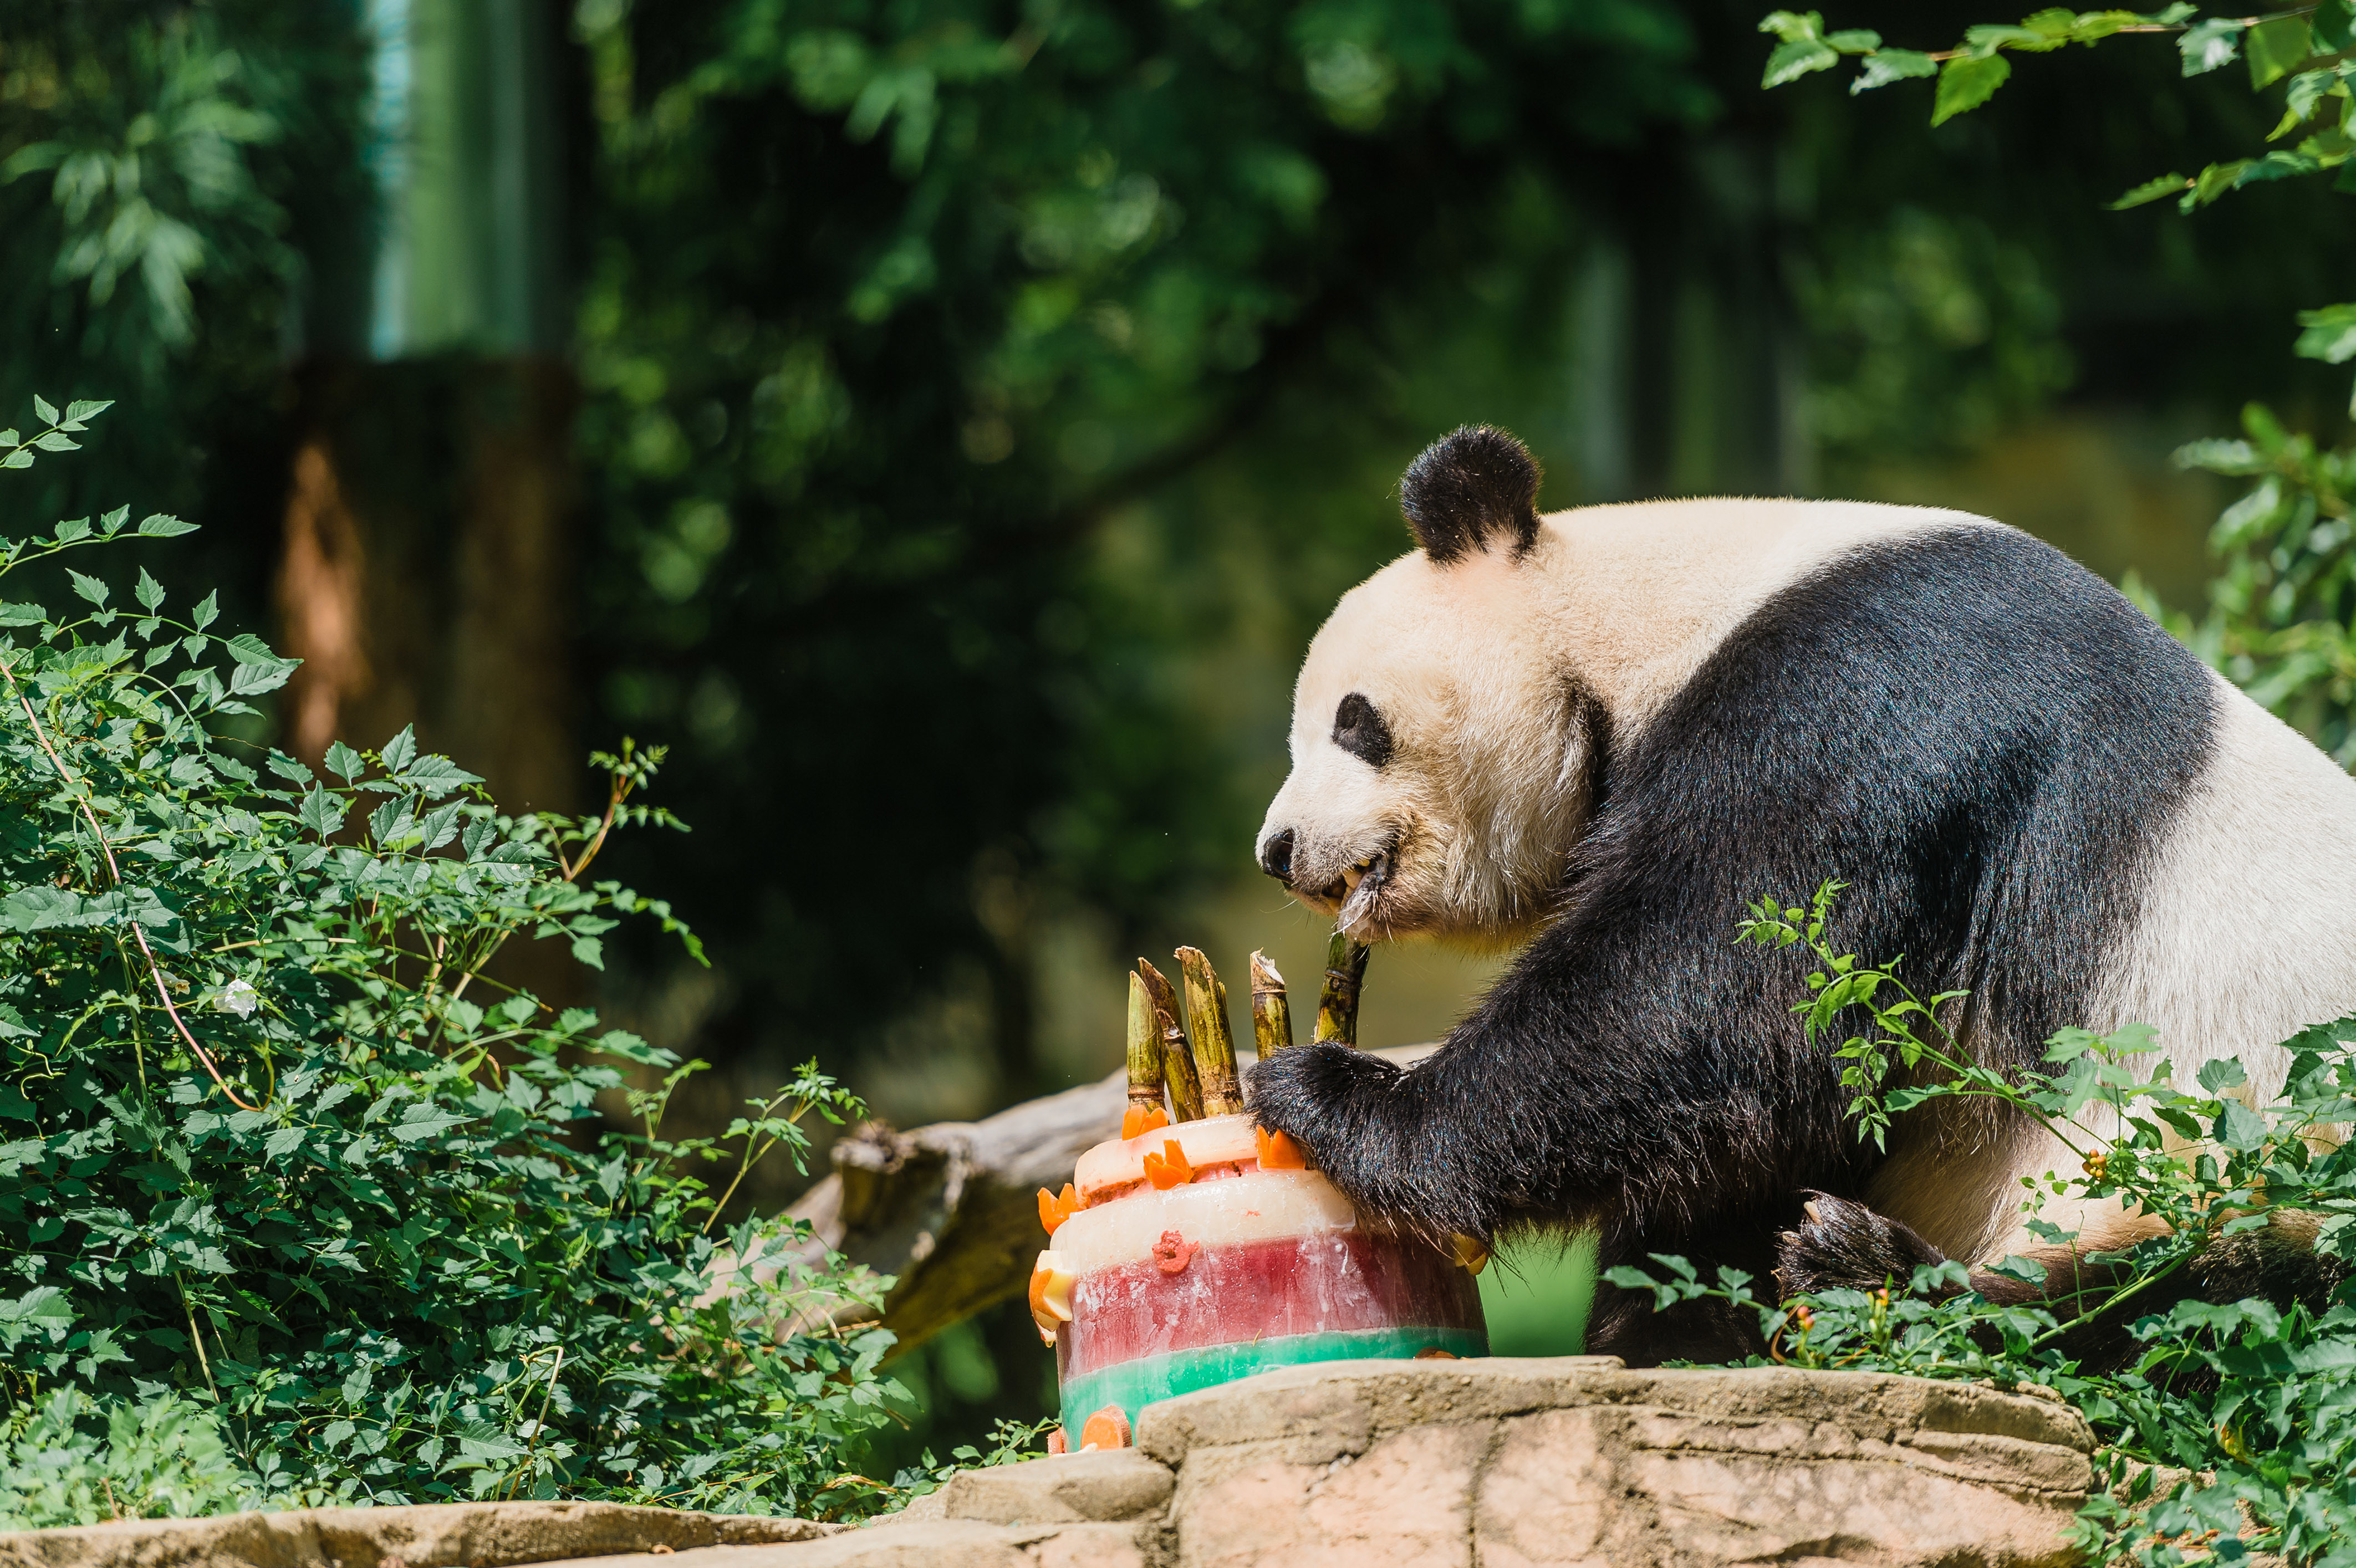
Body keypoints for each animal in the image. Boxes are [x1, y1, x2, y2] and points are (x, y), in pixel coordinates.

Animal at [1253, 421, 2356, 1365]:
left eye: (1354, 719)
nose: (1278, 847)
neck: (1659, 609)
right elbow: (1760, 1112)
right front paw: (1674, 1317)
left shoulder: (1876, 697)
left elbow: (1722, 985)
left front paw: (1337, 1096)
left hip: (2264, 1150)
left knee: (2191, 1300)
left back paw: (1864, 1272)